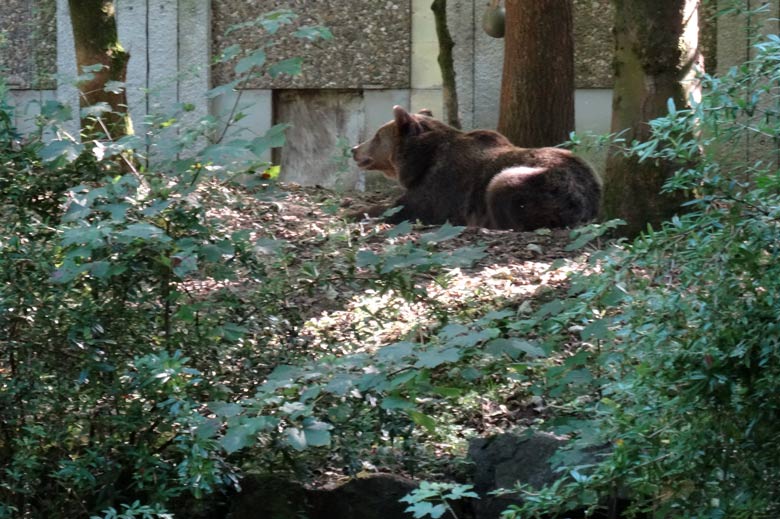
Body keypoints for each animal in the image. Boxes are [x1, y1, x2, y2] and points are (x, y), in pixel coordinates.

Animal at [350, 106, 600, 231]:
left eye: (377, 135)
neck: (420, 161)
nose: (354, 149)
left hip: (539, 183)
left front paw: (355, 212)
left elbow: (402, 209)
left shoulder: (438, 187)